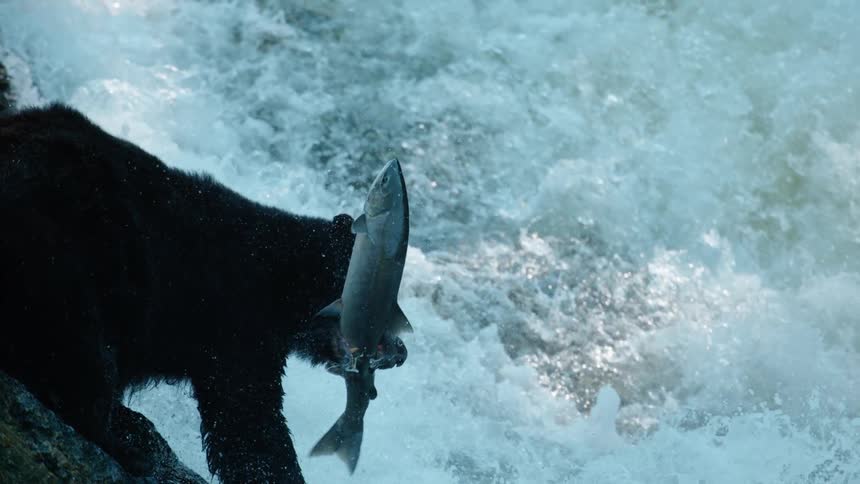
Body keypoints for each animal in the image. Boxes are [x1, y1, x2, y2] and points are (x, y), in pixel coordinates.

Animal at [0, 104, 406, 483]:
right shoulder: (237, 320)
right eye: (392, 304)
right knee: (82, 342)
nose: (400, 352)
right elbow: (248, 421)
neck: (284, 285)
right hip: (77, 247)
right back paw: (128, 446)